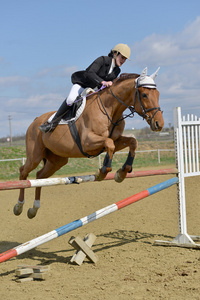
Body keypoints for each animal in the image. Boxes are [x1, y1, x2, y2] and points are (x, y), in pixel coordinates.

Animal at [13, 67, 164, 218]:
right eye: (144, 95)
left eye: (158, 94)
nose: (159, 124)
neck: (110, 109)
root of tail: (35, 121)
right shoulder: (88, 143)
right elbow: (109, 143)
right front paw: (103, 172)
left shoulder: (116, 140)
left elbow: (132, 142)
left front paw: (122, 172)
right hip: (35, 156)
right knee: (23, 172)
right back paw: (19, 206)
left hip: (57, 161)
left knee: (39, 176)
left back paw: (34, 209)